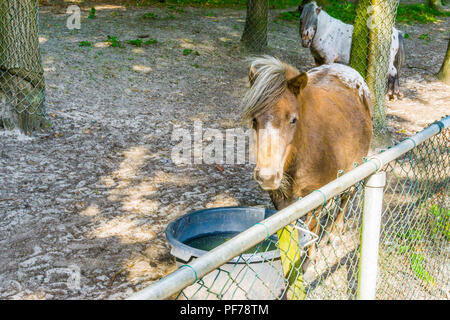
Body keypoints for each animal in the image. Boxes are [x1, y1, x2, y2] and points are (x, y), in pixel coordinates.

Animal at [243, 57, 372, 268]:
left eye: (293, 119)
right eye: (254, 119)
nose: (267, 177)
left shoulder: (316, 197)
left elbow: (312, 229)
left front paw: (308, 260)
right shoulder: (281, 200)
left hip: (354, 168)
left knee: (346, 198)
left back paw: (334, 234)